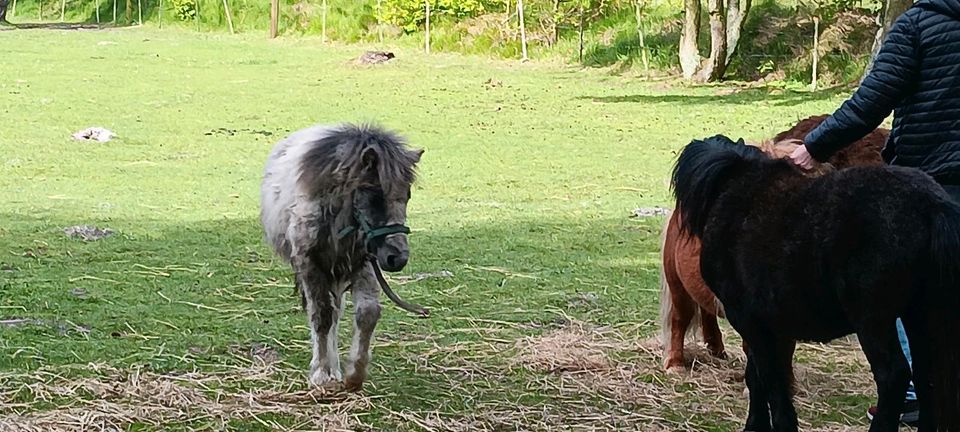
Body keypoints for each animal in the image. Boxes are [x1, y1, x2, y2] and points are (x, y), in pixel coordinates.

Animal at [264, 123, 426, 390]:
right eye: (374, 194)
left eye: (408, 195)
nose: (398, 258)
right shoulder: (311, 265)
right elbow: (321, 316)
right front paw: (321, 374)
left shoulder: (366, 262)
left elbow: (367, 313)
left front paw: (354, 375)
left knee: (337, 312)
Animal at [672, 136, 956, 432]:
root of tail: (930, 206)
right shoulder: (771, 327)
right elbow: (760, 376)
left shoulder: (750, 322)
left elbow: (769, 378)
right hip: (921, 315)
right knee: (927, 376)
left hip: (874, 322)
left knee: (894, 376)